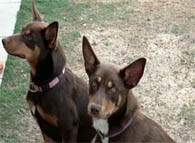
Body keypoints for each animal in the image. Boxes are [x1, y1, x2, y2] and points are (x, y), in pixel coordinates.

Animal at [1, 0, 96, 142]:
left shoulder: (69, 128)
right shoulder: (45, 129)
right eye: (22, 30)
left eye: (29, 37)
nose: (3, 40)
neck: (45, 84)